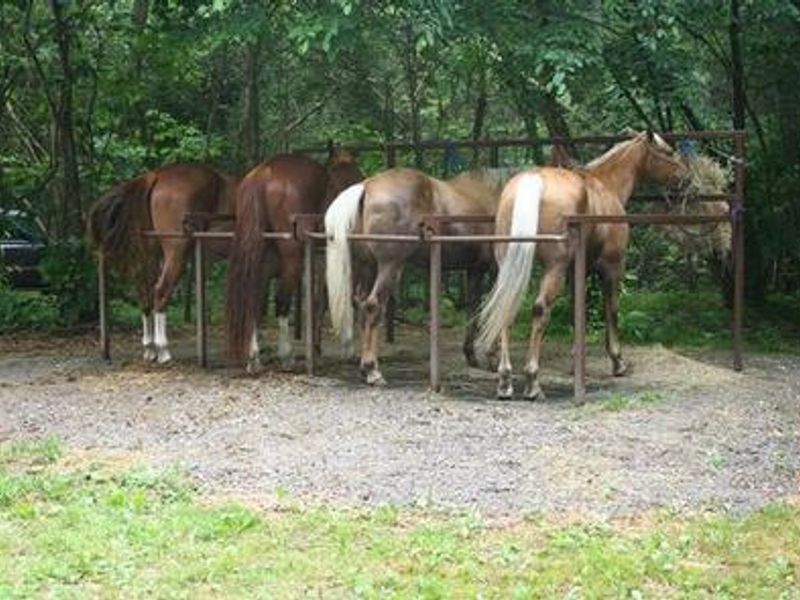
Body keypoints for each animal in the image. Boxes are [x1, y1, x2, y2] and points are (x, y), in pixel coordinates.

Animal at [88, 163, 238, 363]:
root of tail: (155, 175)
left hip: (152, 255)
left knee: (145, 293)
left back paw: (149, 349)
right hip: (176, 254)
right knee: (160, 292)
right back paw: (163, 350)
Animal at [225, 151, 363, 372]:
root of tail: (263, 174)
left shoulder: (319, 257)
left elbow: (319, 301)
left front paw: (317, 348)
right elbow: (340, 297)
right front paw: (346, 347)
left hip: (262, 259)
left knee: (255, 299)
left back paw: (254, 357)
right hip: (292, 260)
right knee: (282, 302)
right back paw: (286, 356)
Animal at [324, 166, 517, 386]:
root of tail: (367, 186)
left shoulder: (475, 270)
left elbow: (473, 308)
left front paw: (471, 355)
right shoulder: (495, 269)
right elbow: (496, 309)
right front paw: (492, 358)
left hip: (368, 267)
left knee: (362, 307)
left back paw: (366, 368)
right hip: (390, 267)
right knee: (373, 306)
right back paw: (372, 370)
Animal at [477, 131, 690, 400]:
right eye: (668, 151)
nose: (686, 177)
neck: (606, 186)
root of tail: (532, 181)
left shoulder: (574, 270)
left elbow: (576, 312)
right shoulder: (611, 268)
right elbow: (611, 311)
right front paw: (618, 361)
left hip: (511, 267)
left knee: (507, 308)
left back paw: (505, 381)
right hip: (553, 269)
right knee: (540, 310)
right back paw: (532, 381)